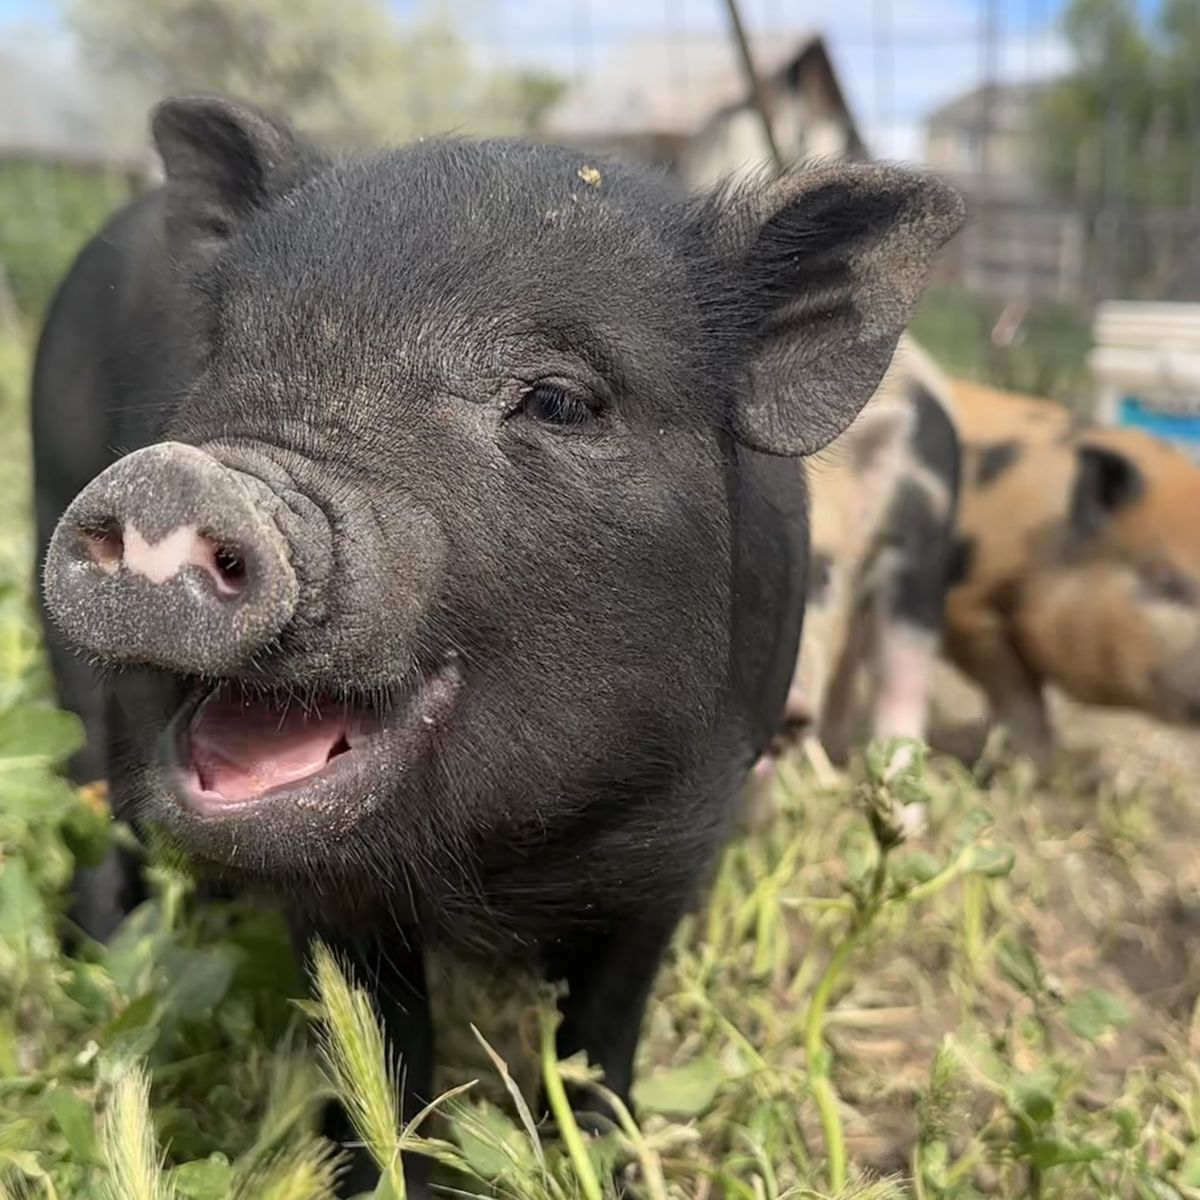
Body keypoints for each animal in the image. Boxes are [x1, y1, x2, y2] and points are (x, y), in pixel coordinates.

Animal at [33, 96, 962, 1193]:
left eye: (559, 399)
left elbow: (603, 1035)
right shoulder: (336, 901)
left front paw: (602, 1154)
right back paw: (108, 979)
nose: (175, 479)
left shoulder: (681, 842)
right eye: (219, 350)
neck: (498, 868)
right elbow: (379, 1054)